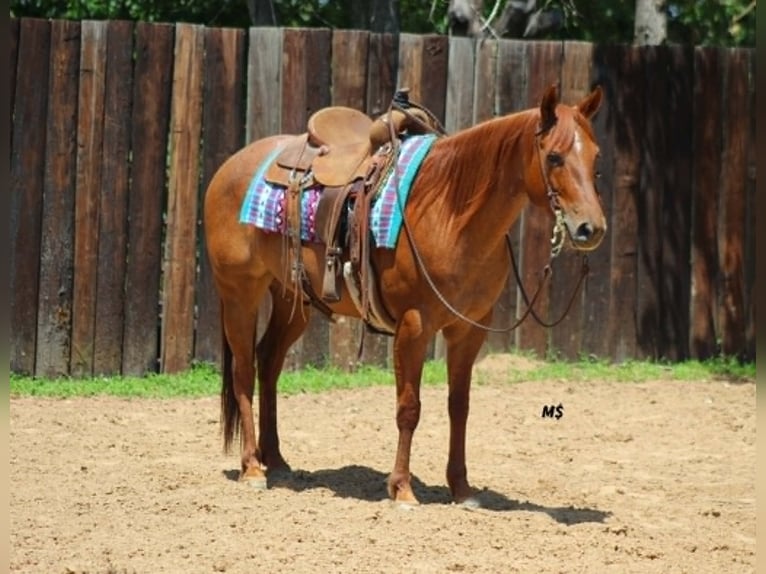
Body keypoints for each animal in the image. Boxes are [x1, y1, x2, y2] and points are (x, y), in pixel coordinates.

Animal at [203, 84, 606, 505]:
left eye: (596, 157)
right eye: (554, 156)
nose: (590, 228)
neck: (449, 214)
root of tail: (229, 167)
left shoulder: (470, 329)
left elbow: (459, 406)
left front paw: (462, 488)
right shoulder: (414, 326)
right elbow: (409, 407)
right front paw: (402, 488)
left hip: (293, 299)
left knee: (268, 362)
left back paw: (277, 460)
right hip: (240, 294)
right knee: (244, 371)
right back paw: (251, 467)